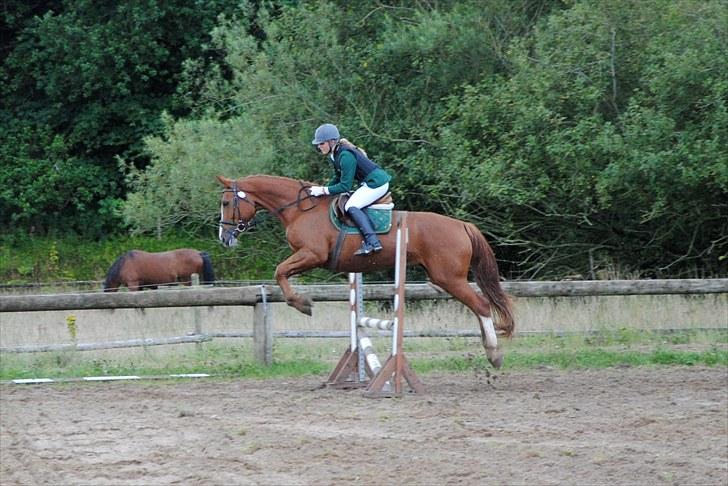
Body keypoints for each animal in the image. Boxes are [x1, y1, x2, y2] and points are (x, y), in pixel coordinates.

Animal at [219, 175, 516, 368]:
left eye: (225, 203)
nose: (224, 237)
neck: (300, 210)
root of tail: (463, 225)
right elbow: (281, 273)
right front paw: (302, 302)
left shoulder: (312, 255)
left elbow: (280, 272)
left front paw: (302, 304)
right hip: (444, 278)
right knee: (478, 305)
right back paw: (489, 347)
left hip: (449, 278)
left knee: (481, 304)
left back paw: (493, 353)